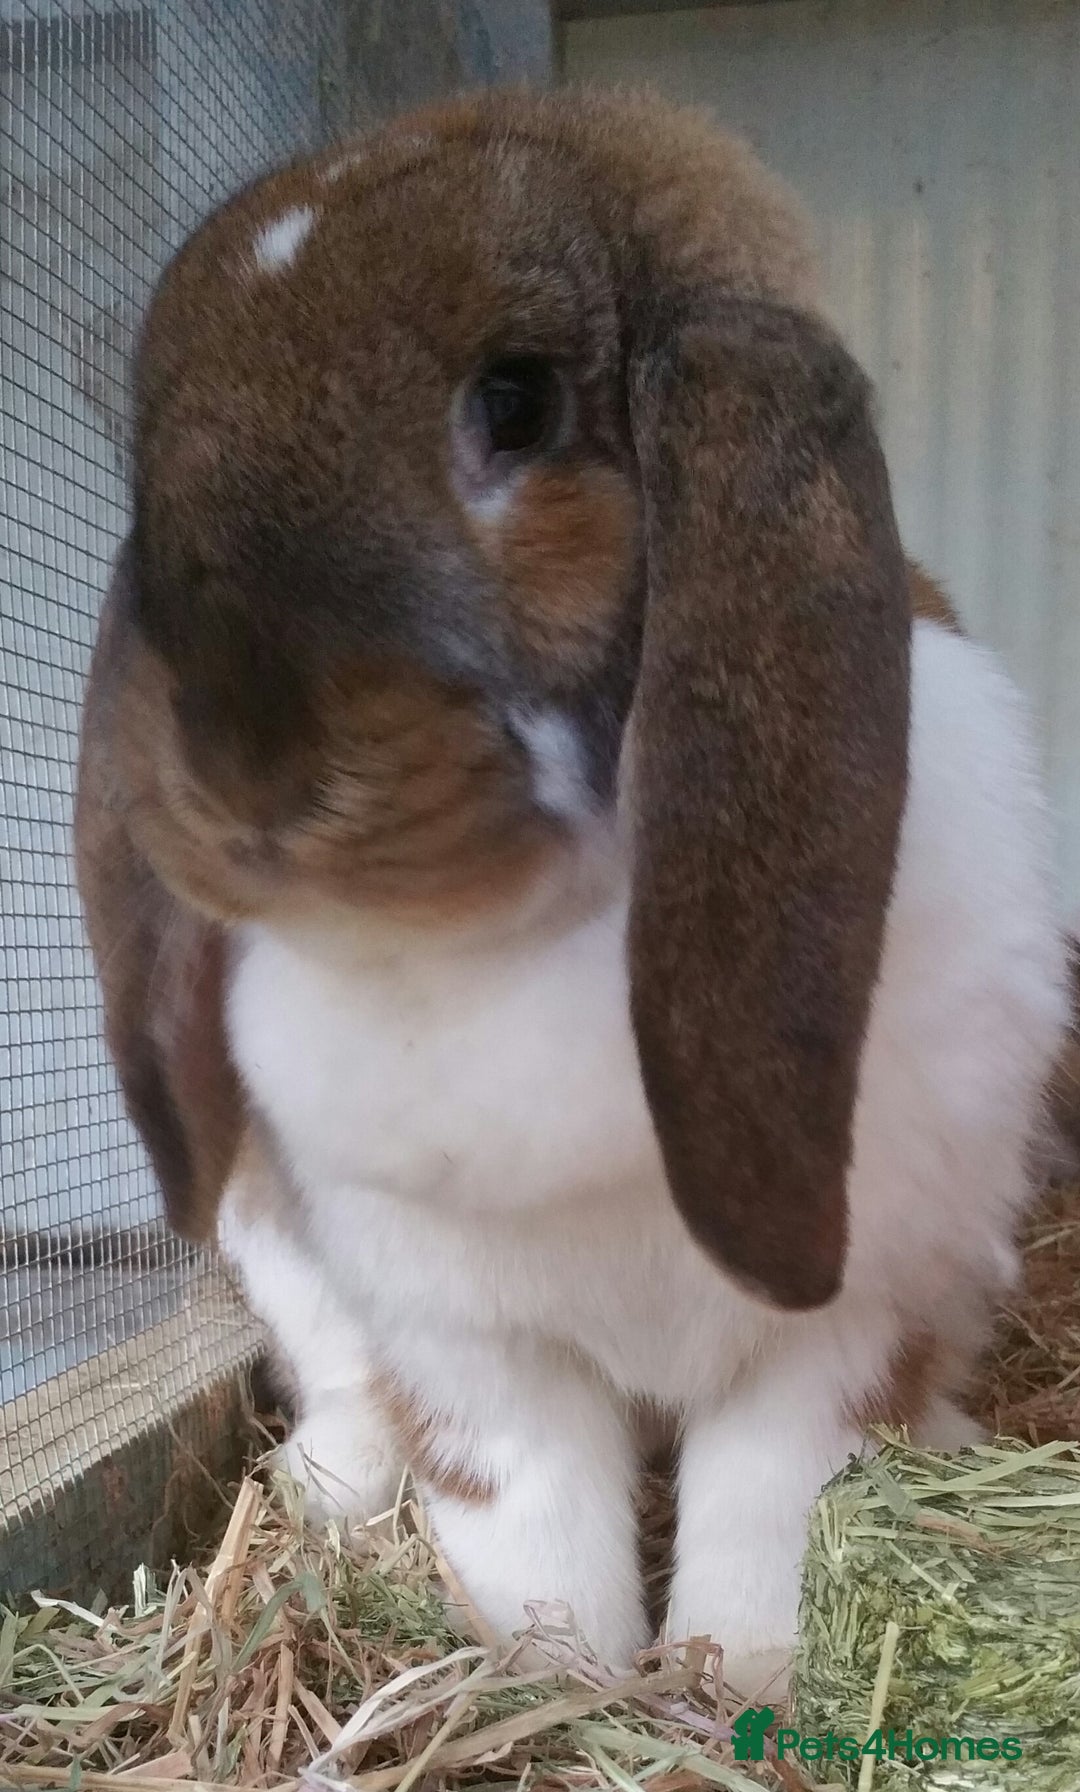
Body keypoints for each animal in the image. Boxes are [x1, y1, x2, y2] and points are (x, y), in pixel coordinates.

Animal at [76, 87, 1070, 1694]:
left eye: (518, 405)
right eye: (148, 468)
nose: (234, 762)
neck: (501, 932)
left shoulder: (846, 1322)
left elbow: (769, 1514)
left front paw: (729, 1689)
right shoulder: (461, 1336)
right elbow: (526, 1516)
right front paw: (559, 1678)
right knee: (346, 1394)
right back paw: (333, 1496)